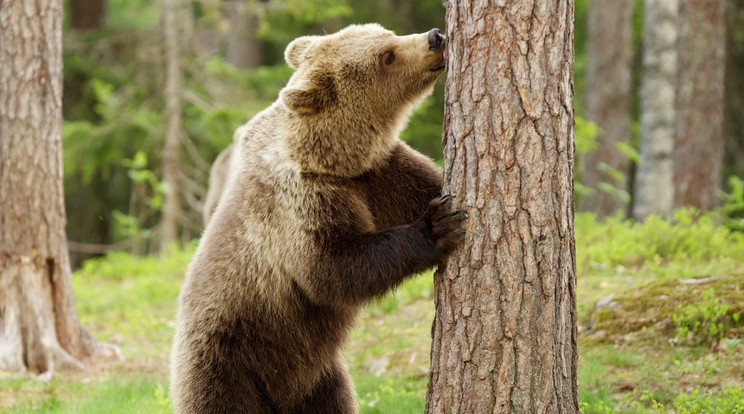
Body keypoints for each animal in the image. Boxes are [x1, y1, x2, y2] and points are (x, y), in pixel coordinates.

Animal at [171, 24, 468, 412]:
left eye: (386, 33)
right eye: (387, 56)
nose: (435, 37)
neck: (334, 158)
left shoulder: (381, 173)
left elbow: (425, 182)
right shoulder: (301, 203)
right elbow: (331, 268)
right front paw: (439, 225)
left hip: (319, 377)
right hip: (229, 358)